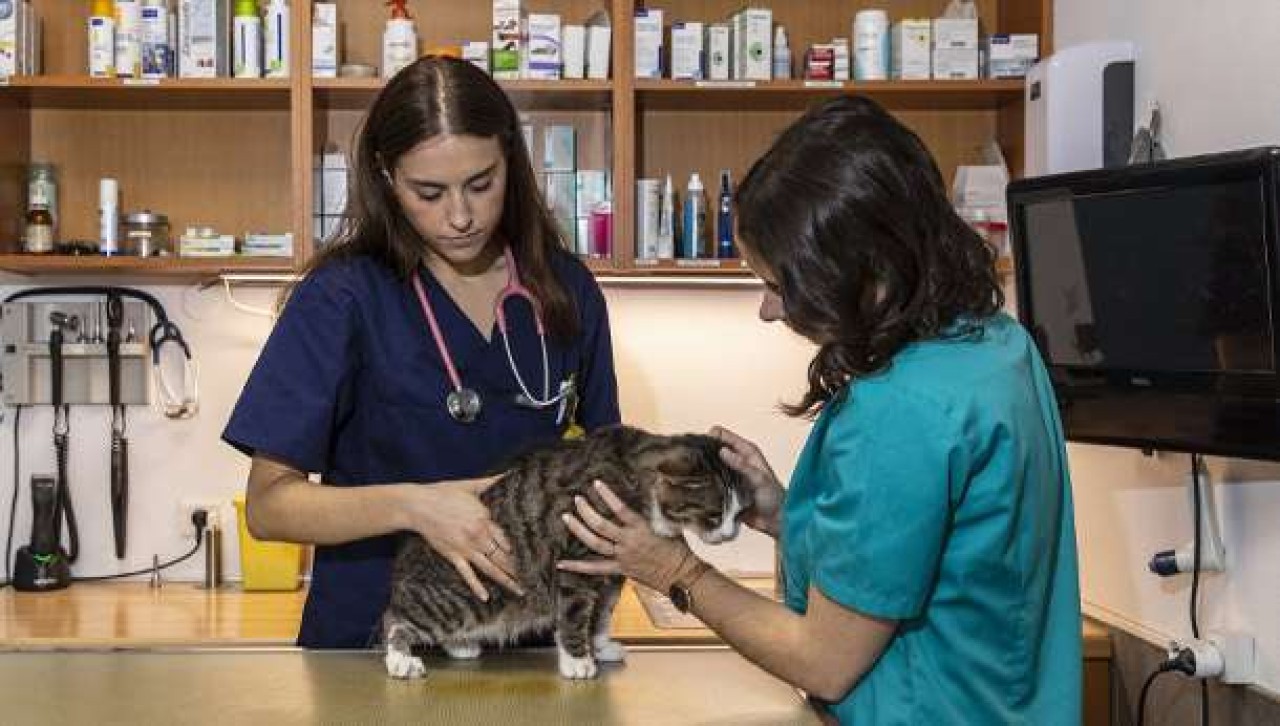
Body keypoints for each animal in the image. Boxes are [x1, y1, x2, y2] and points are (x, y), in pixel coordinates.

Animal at [376, 425, 747, 681]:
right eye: (715, 515)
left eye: (740, 514)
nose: (731, 534)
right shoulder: (577, 560)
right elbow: (575, 612)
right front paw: (578, 661)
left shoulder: (612, 571)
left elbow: (603, 613)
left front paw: (600, 646)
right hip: (468, 598)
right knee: (395, 617)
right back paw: (401, 658)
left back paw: (460, 644)